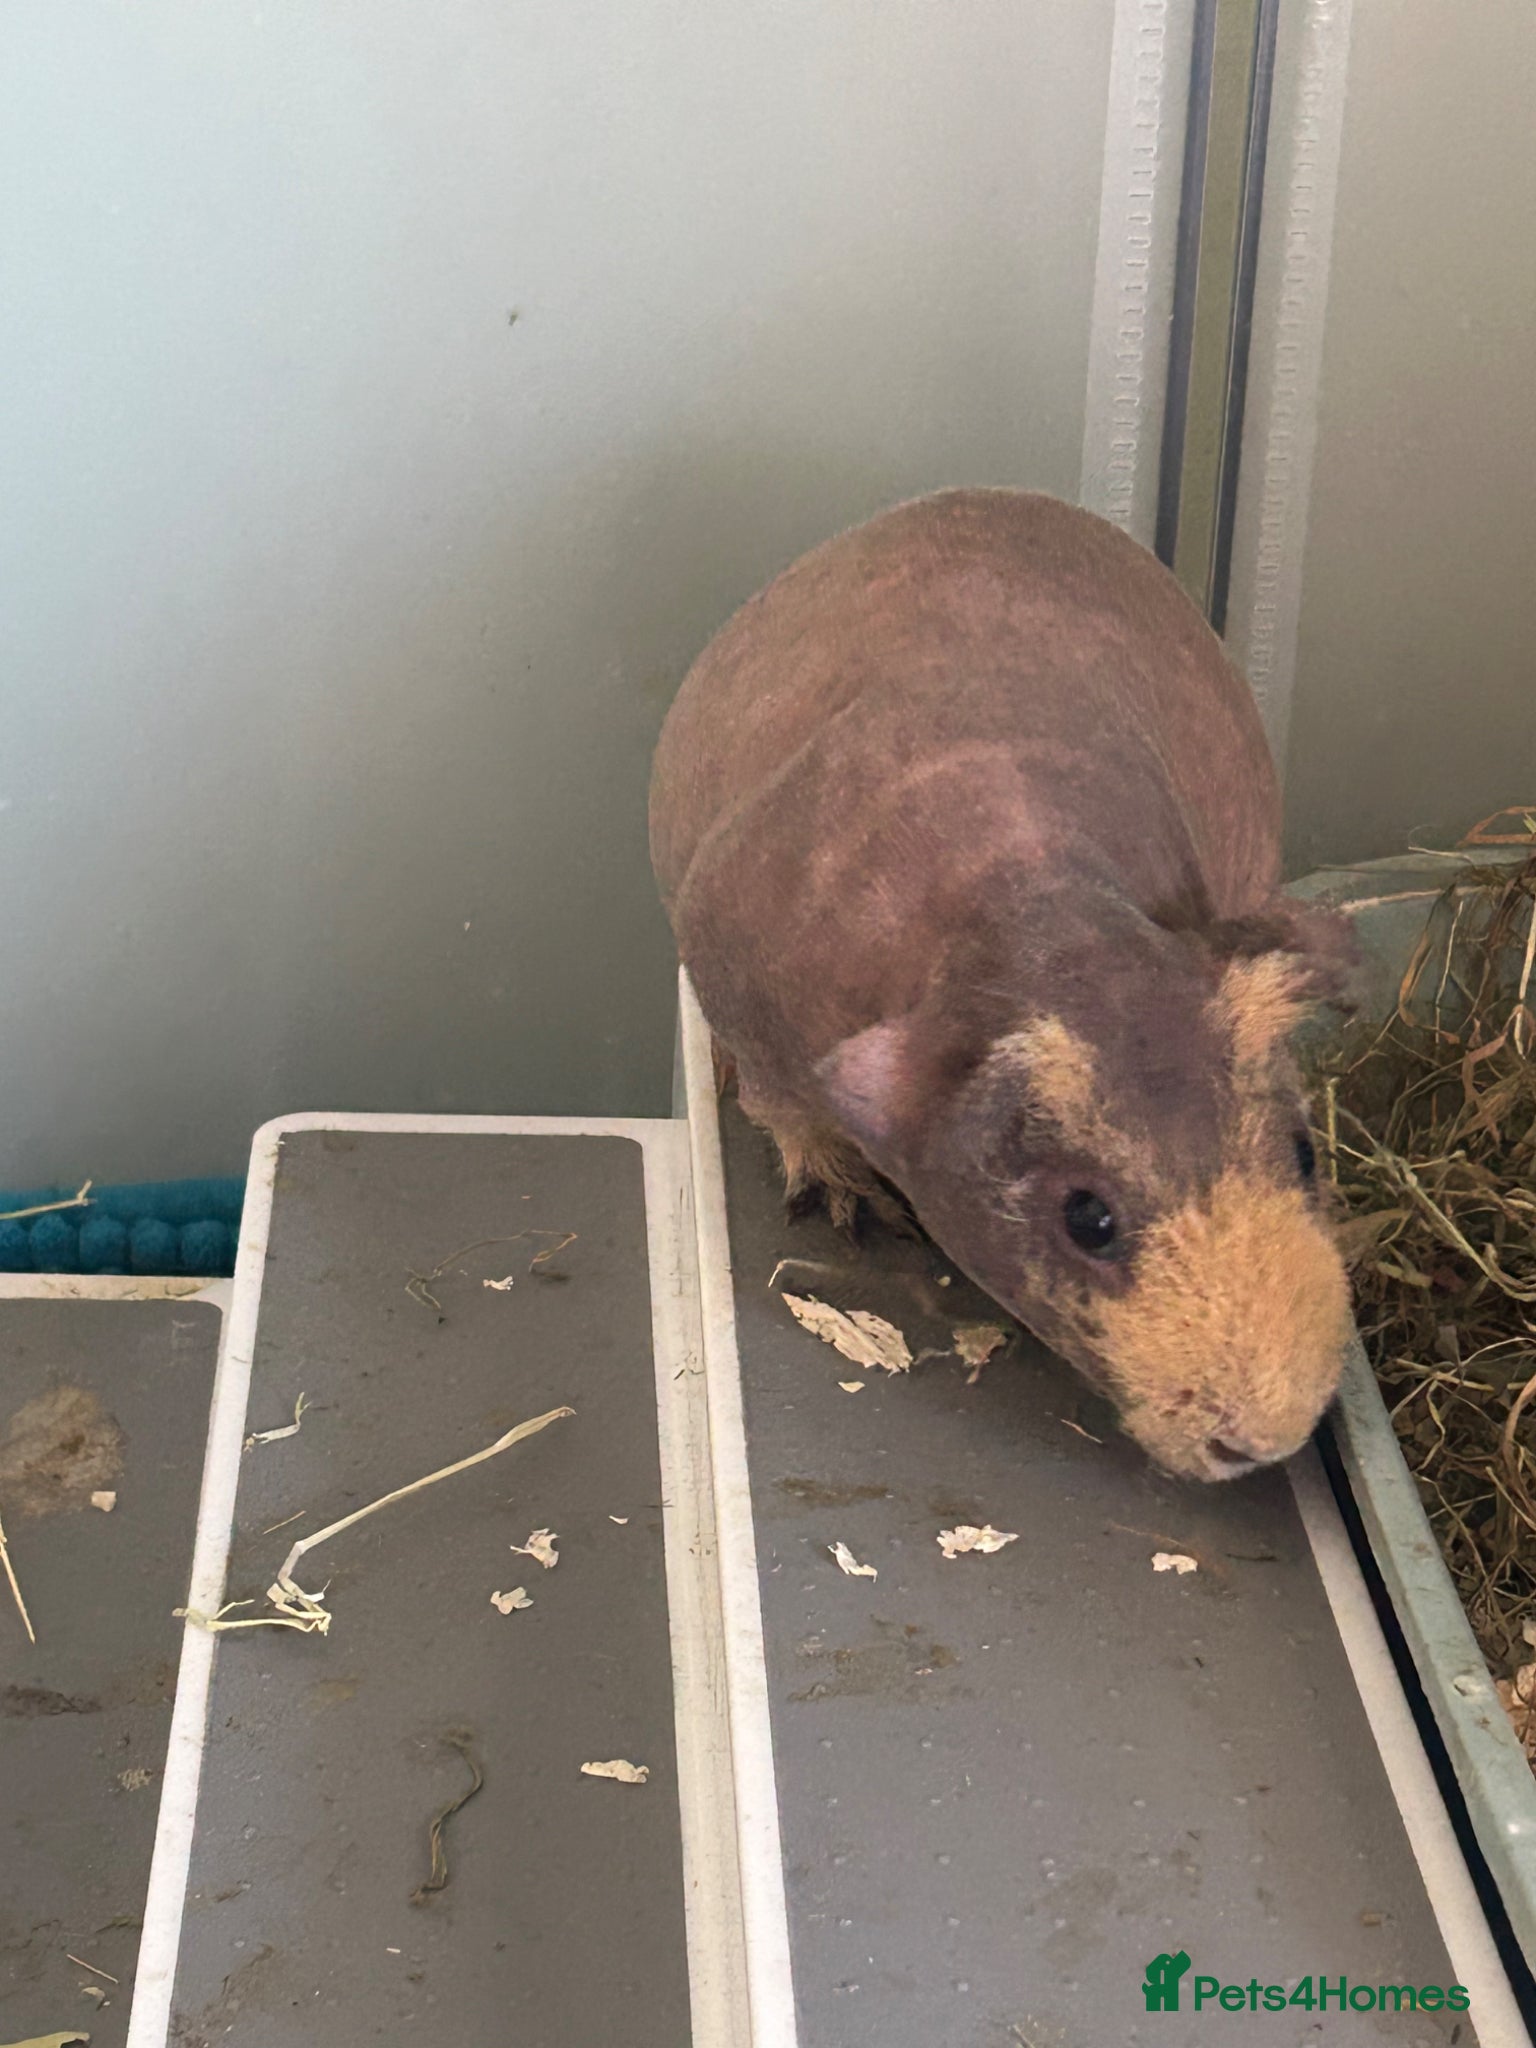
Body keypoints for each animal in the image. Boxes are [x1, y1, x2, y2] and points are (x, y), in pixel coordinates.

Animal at [649, 489, 1357, 1481]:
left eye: (1304, 1153)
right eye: (1087, 1219)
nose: (1268, 1440)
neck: (1038, 900)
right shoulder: (740, 997)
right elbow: (781, 1105)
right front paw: (847, 1211)